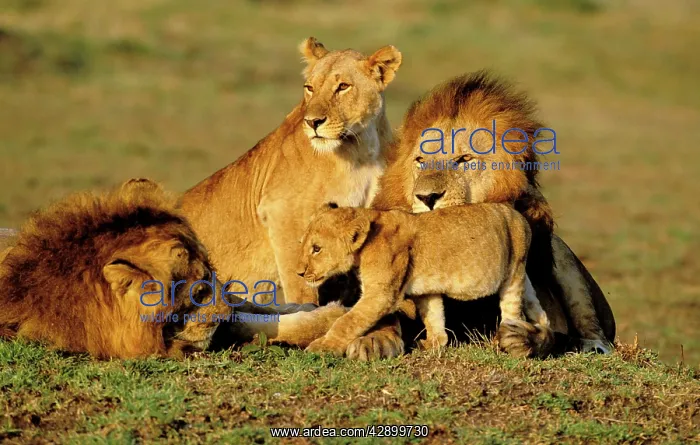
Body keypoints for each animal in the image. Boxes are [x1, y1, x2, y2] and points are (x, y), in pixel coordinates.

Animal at [179, 38, 402, 312]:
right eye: (310, 88)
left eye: (343, 86)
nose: (313, 122)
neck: (361, 149)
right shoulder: (282, 212)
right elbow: (300, 283)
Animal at [297, 205, 554, 358]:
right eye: (302, 244)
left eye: (317, 248)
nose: (299, 273)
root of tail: (520, 217)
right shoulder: (425, 292)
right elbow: (434, 318)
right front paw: (434, 343)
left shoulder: (381, 295)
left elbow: (347, 322)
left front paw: (322, 347)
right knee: (538, 310)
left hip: (513, 271)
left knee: (512, 309)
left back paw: (507, 340)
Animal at [341, 71, 615, 356]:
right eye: (420, 161)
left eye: (464, 159)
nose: (427, 197)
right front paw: (372, 340)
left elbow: (542, 328)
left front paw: (525, 338)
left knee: (592, 326)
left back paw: (592, 345)